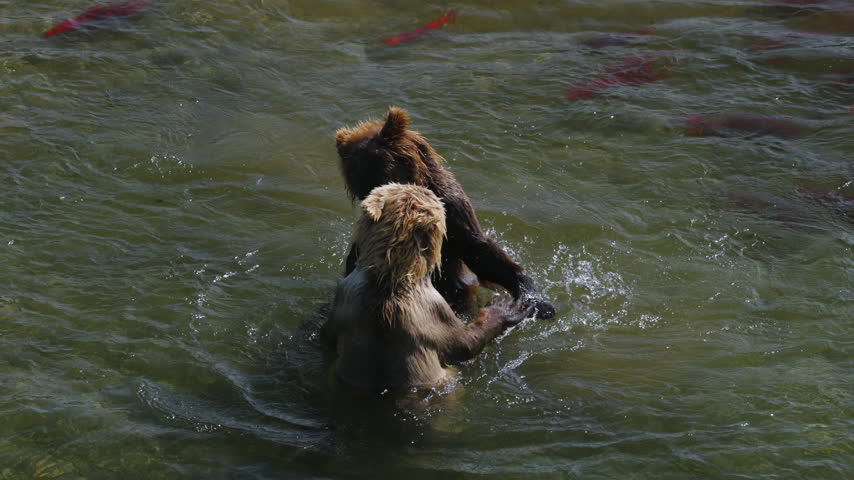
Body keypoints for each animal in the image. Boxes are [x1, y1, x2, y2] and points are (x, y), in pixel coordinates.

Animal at [321, 183, 533, 391]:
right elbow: (465, 342)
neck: (390, 280)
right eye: (431, 196)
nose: (429, 188)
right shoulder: (432, 309)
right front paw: (506, 307)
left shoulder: (346, 297)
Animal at [334, 107, 555, 319]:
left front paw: (537, 301)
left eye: (378, 179)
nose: (371, 210)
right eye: (359, 187)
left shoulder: (453, 212)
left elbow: (481, 251)